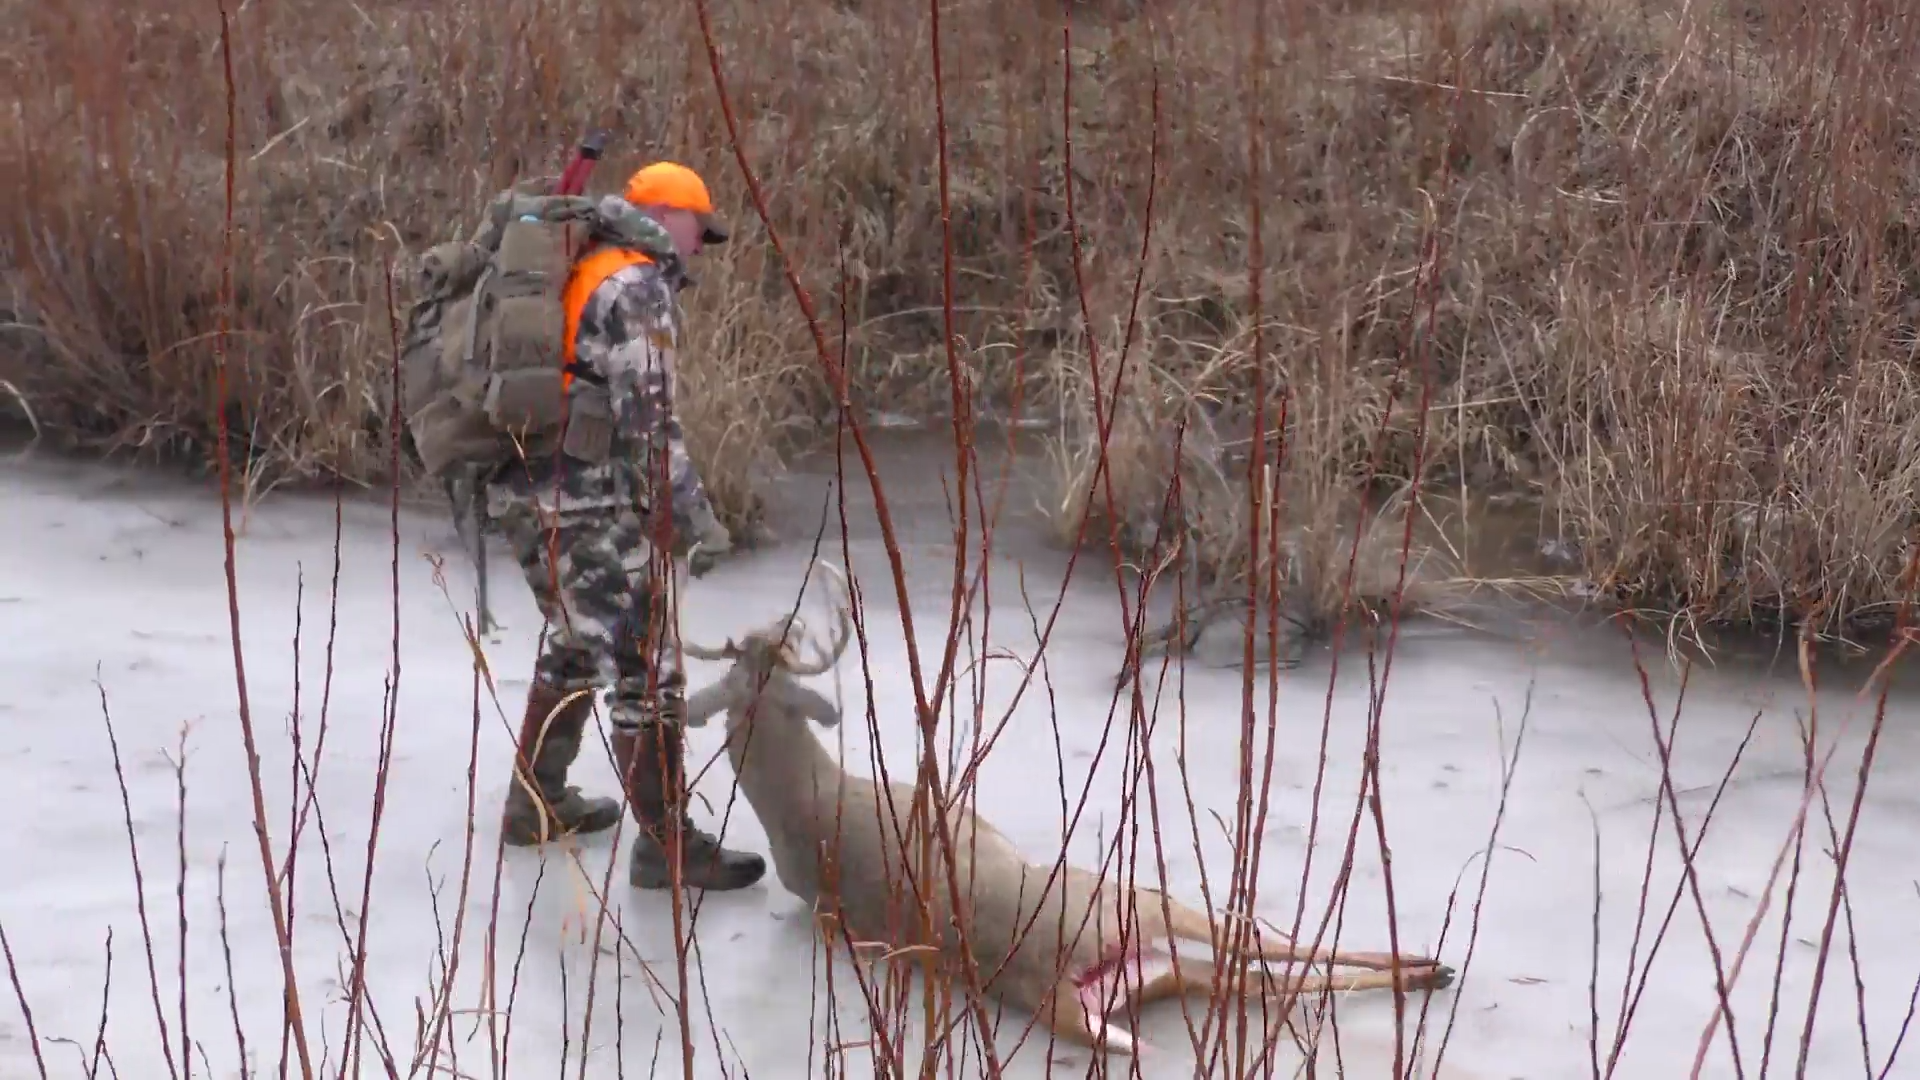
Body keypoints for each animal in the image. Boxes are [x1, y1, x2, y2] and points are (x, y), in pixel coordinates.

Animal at [678, 560, 1455, 1058]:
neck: (808, 799)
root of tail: (1055, 985)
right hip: (1132, 897)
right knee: (1258, 947)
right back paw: (1430, 965)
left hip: (1153, 968)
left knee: (1248, 972)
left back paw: (1424, 970)